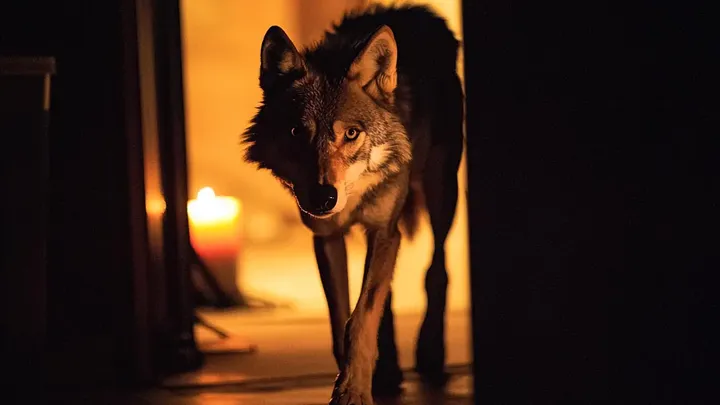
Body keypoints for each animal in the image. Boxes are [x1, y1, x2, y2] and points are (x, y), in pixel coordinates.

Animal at [243, 4, 464, 404]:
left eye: (351, 134)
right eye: (297, 132)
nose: (322, 197)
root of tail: (413, 10)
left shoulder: (383, 229)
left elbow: (360, 318)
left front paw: (353, 391)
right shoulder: (328, 237)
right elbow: (344, 316)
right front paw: (358, 378)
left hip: (442, 193)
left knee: (436, 269)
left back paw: (430, 352)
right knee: (388, 297)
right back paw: (389, 369)